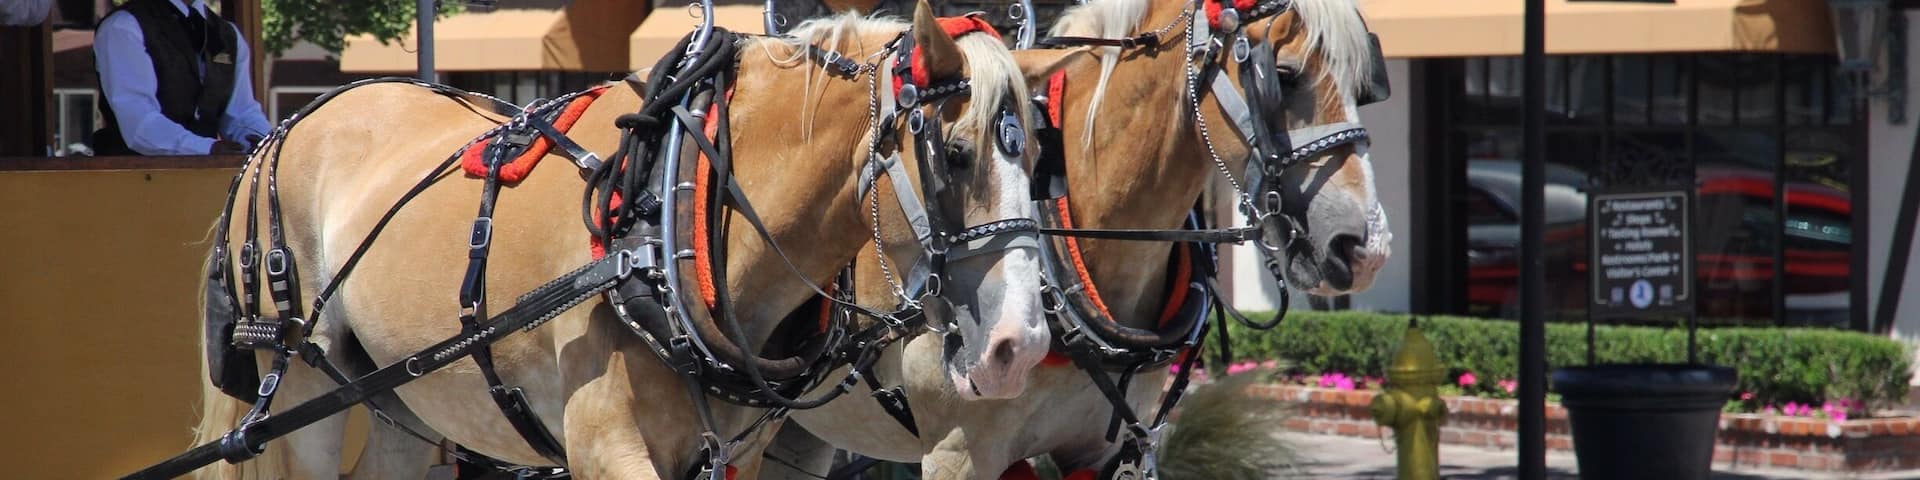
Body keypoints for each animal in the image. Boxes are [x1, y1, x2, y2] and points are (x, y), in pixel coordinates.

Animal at [185, 3, 1055, 478]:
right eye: (956, 152)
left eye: (1037, 157)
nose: (1019, 345)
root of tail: (283, 130)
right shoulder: (604, 448)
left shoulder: (736, 455)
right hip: (298, 382)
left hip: (402, 397)